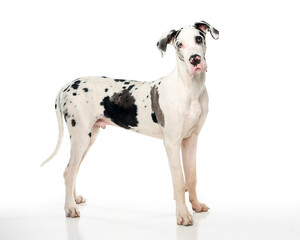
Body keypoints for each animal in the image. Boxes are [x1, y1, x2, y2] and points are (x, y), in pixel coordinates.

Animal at [41, 21, 218, 226]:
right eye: (179, 44)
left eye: (199, 38)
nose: (194, 59)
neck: (189, 88)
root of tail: (66, 85)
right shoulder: (172, 143)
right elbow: (179, 181)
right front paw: (183, 215)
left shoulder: (191, 140)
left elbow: (191, 176)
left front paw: (196, 205)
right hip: (80, 137)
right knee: (69, 172)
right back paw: (70, 208)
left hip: (89, 137)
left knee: (71, 169)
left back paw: (74, 199)